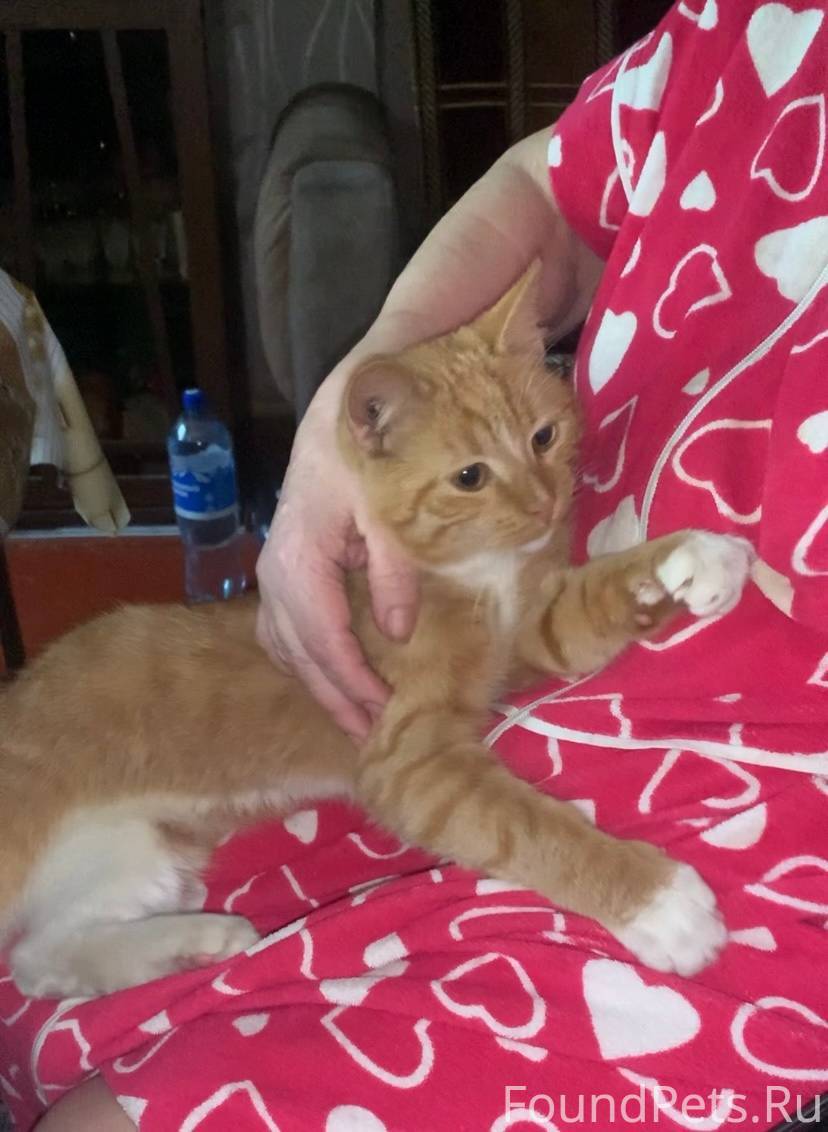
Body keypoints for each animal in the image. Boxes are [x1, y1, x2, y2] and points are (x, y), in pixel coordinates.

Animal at [0, 265, 752, 999]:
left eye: (544, 436)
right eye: (470, 476)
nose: (544, 505)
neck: (480, 577)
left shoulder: (531, 636)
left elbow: (593, 601)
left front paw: (688, 560)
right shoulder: (410, 762)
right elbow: (528, 826)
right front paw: (656, 902)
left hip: (138, 854)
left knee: (43, 958)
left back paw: (196, 940)